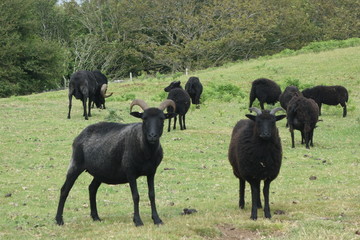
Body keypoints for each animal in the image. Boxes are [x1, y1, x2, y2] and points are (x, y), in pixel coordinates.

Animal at [54, 98, 176, 226]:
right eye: (144, 118)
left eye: (162, 118)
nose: (152, 136)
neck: (146, 152)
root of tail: (80, 135)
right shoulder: (130, 172)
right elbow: (136, 196)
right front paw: (137, 221)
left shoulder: (151, 172)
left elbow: (152, 194)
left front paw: (157, 219)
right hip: (76, 164)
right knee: (64, 190)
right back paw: (59, 220)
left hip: (100, 172)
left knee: (92, 189)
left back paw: (95, 217)